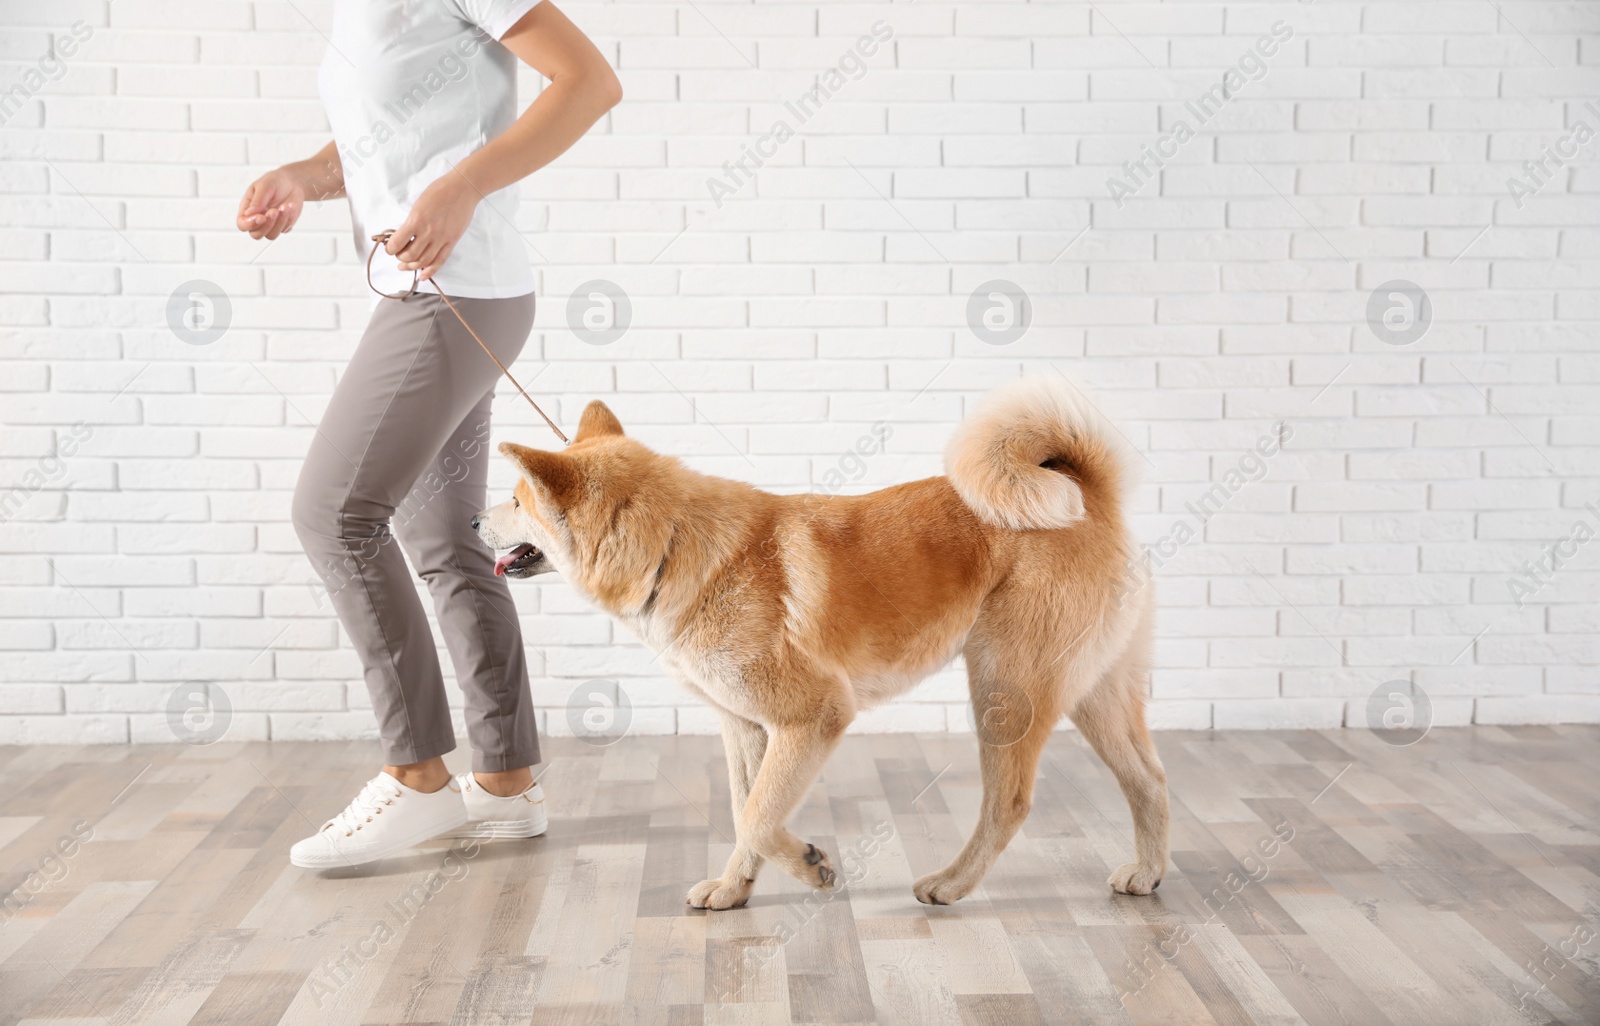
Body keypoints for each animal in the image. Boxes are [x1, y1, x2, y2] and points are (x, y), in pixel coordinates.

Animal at [467, 374, 1171, 902]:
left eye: (517, 501)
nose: (473, 520)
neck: (672, 547)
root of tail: (1089, 494)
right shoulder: (745, 726)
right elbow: (744, 810)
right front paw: (734, 890)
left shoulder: (814, 716)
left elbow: (758, 815)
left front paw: (809, 865)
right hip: (1093, 693)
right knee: (1149, 780)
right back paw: (1149, 872)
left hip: (1004, 688)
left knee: (1012, 804)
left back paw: (950, 884)